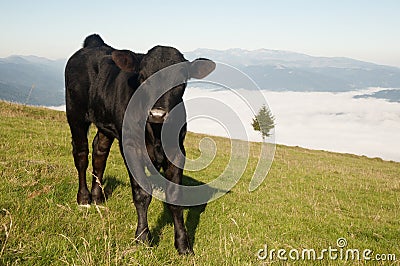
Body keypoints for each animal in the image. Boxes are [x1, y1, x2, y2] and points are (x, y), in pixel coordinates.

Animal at [65, 34, 216, 255]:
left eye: (181, 80)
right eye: (143, 76)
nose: (158, 114)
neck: (156, 133)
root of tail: (94, 44)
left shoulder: (177, 151)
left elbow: (175, 196)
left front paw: (183, 245)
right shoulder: (130, 147)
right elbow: (142, 193)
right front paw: (143, 237)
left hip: (105, 124)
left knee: (100, 153)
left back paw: (98, 197)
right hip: (75, 114)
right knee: (81, 154)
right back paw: (84, 198)